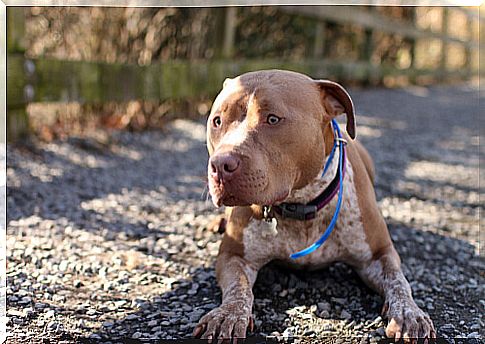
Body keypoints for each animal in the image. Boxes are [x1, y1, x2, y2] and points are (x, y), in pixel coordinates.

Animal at [193, 69, 434, 342]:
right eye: (217, 121)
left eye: (273, 119)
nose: (221, 165)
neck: (302, 204)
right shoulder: (233, 256)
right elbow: (239, 288)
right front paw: (228, 314)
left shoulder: (378, 255)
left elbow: (399, 281)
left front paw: (409, 314)